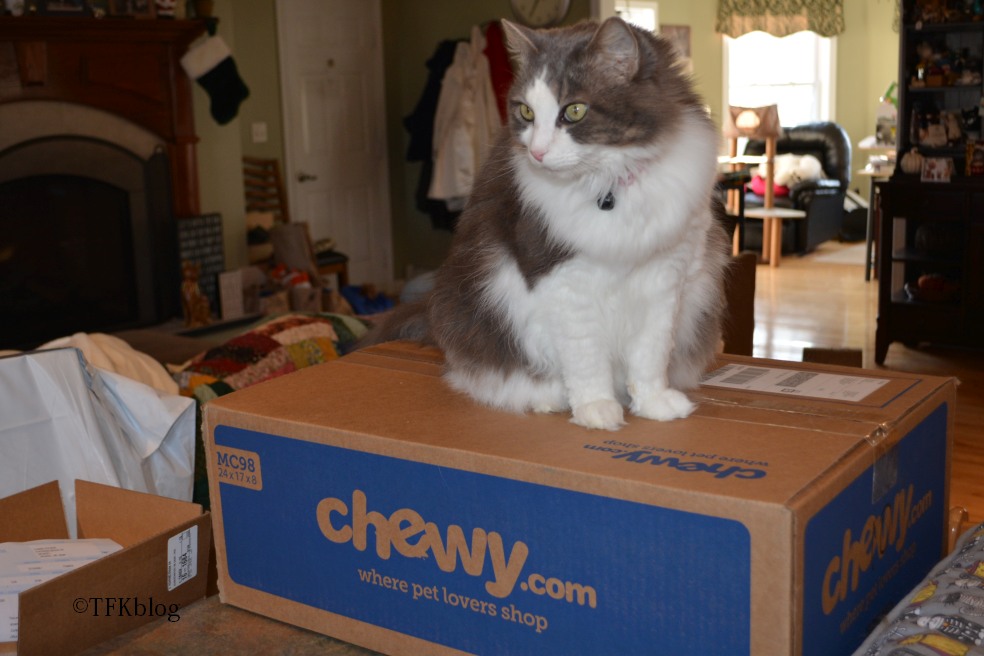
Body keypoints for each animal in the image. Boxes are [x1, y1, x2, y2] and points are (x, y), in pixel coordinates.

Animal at [364, 16, 731, 431]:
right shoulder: (562, 277)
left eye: (574, 111)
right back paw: (548, 399)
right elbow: (585, 358)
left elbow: (650, 355)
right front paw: (596, 409)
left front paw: (653, 404)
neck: (609, 185)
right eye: (525, 112)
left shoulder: (666, 276)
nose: (537, 152)